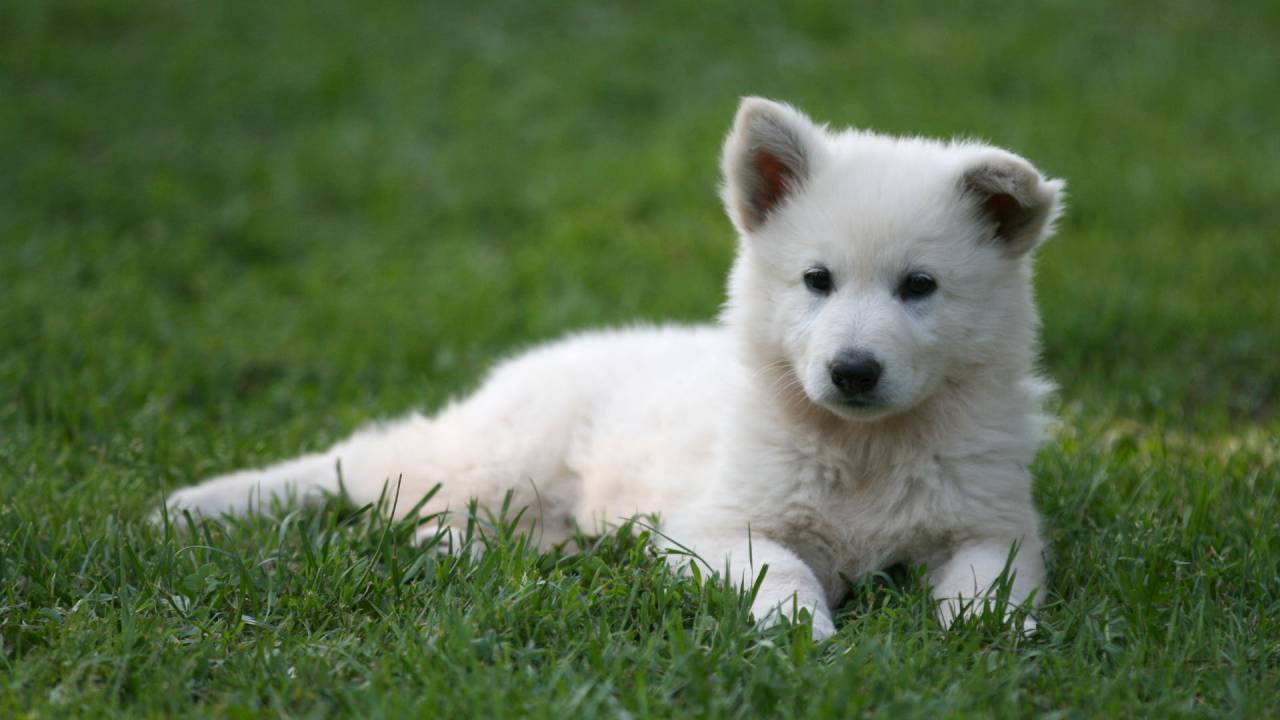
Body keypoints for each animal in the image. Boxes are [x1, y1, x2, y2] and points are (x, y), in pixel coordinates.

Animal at [167, 96, 1059, 638]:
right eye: (817, 280)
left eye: (920, 287)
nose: (853, 371)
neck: (866, 448)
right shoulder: (718, 524)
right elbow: (783, 573)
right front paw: (802, 634)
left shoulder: (991, 524)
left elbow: (992, 583)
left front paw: (984, 640)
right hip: (506, 459)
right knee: (391, 479)